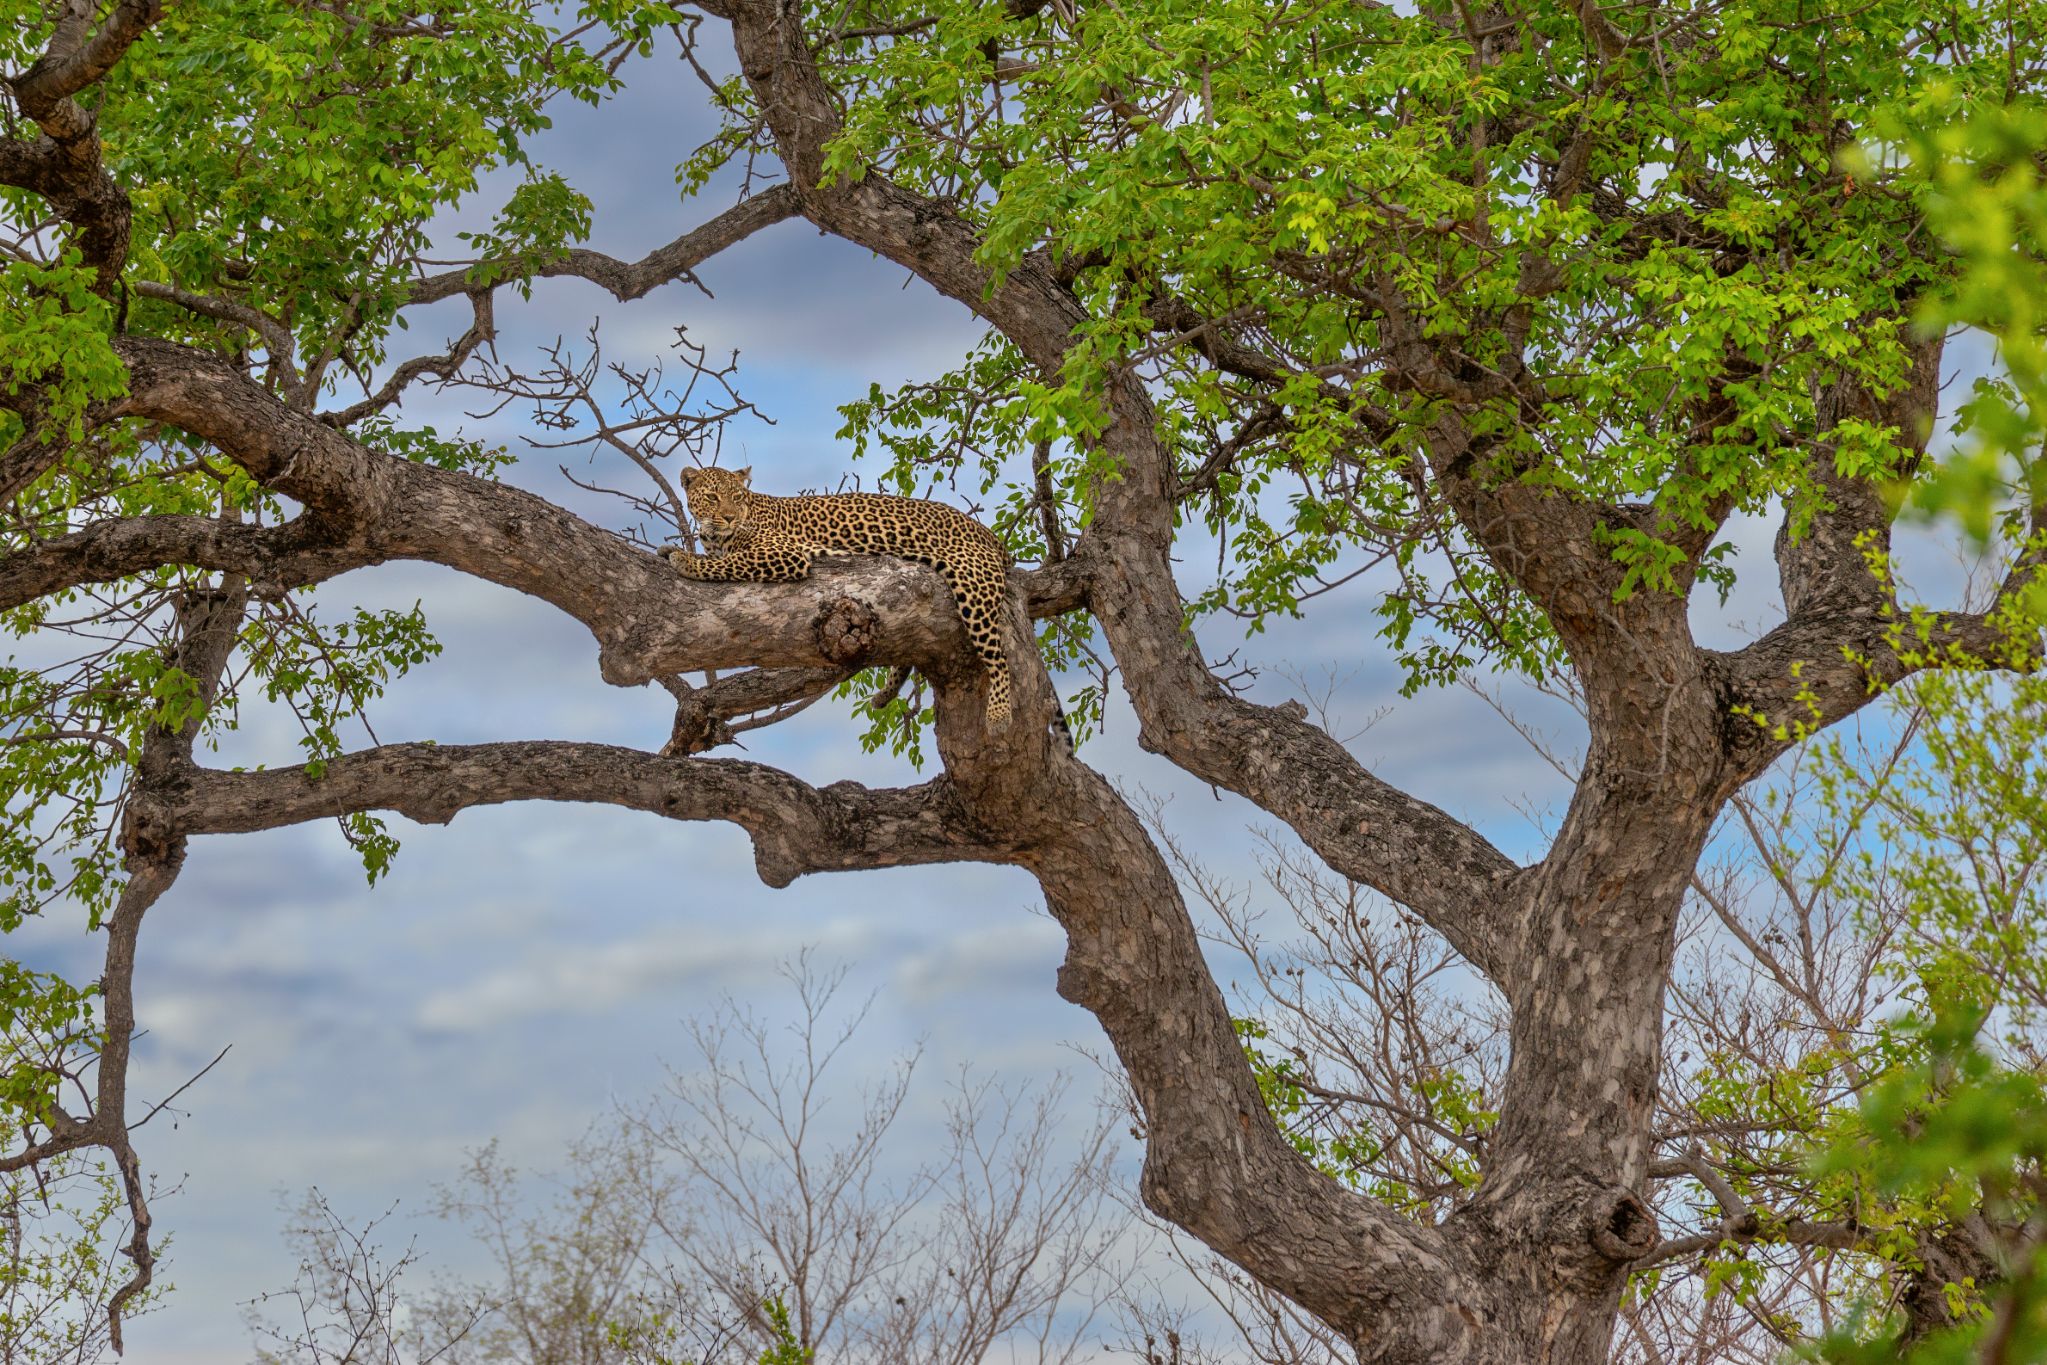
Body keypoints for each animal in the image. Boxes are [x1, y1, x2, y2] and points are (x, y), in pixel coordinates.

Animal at [664, 466, 1019, 730]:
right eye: (713, 497)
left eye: (737, 498)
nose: (729, 517)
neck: (715, 535)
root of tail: (989, 535)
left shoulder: (785, 553)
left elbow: (727, 562)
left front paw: (686, 560)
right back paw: (885, 694)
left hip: (972, 584)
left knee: (997, 657)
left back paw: (1000, 713)